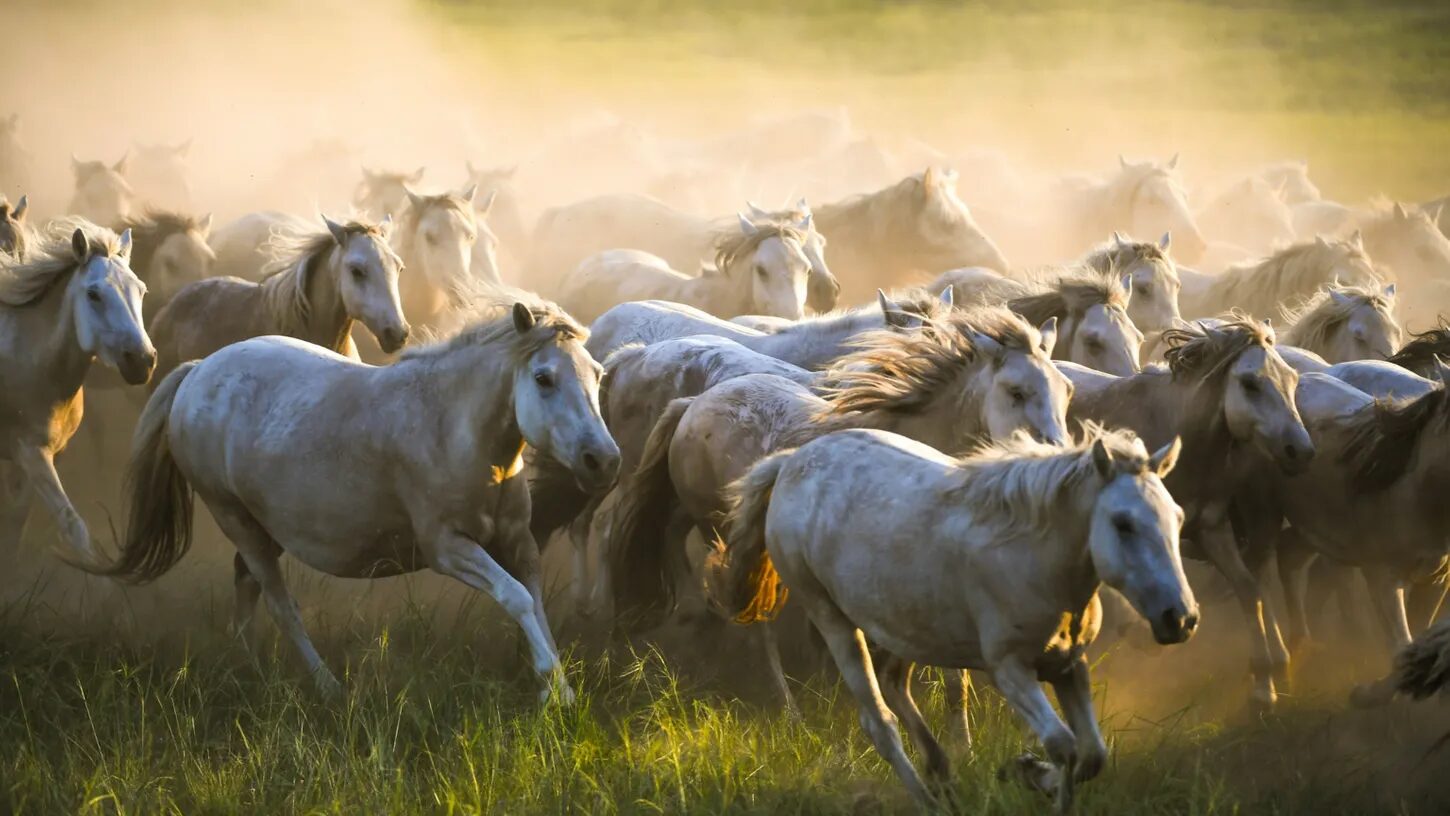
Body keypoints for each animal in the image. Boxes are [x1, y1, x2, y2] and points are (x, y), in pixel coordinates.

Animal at [0, 226, 155, 559]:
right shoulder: (31, 453)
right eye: (93, 294)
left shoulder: (43, 455)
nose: (142, 361)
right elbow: (73, 525)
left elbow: (16, 520)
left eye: (141, 290)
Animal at [81, 302, 619, 702]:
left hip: (264, 526)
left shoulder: (518, 542)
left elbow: (535, 604)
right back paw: (327, 687)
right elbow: (517, 598)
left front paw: (557, 686)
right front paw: (554, 687)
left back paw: (248, 662)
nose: (603, 460)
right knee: (280, 603)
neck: (452, 427)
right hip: (233, 516)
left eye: (597, 373)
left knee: (246, 583)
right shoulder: (449, 549)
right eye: (544, 378)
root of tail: (195, 373)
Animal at [606, 308, 1072, 713]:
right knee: (752, 620)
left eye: (1066, 389)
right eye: (1016, 391)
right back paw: (787, 708)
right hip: (721, 532)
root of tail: (693, 404)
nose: (1057, 454)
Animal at [707, 427, 1193, 811]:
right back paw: (929, 799)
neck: (1031, 554)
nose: (1181, 618)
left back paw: (942, 772)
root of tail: (789, 463)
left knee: (894, 681)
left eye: (1178, 517)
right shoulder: (1009, 670)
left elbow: (1092, 754)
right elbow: (1064, 746)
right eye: (1123, 523)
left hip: (905, 623)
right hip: (833, 619)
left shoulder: (1069, 665)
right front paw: (1032, 774)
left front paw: (1028, 772)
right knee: (879, 721)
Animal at [1068, 317, 1312, 710]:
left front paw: (1264, 685)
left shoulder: (1212, 528)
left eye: (1291, 378)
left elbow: (1249, 588)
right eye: (1250, 383)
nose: (1301, 450)